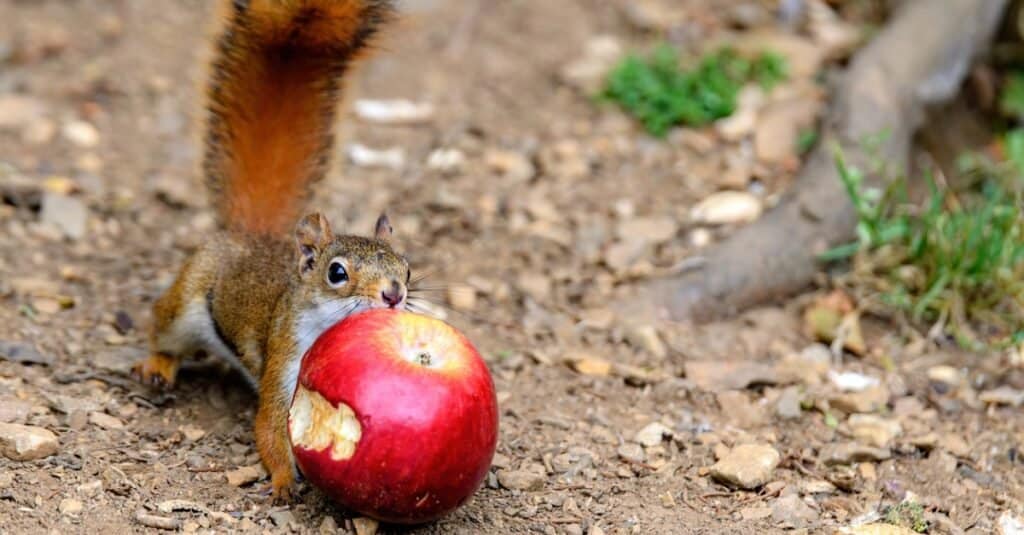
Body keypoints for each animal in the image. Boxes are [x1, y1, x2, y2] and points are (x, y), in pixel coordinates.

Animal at [133, 1, 407, 500]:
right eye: (337, 273)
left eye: (407, 269)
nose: (393, 295)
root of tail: (252, 233)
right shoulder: (284, 361)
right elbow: (270, 428)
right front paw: (283, 482)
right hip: (184, 303)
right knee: (162, 330)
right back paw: (158, 365)